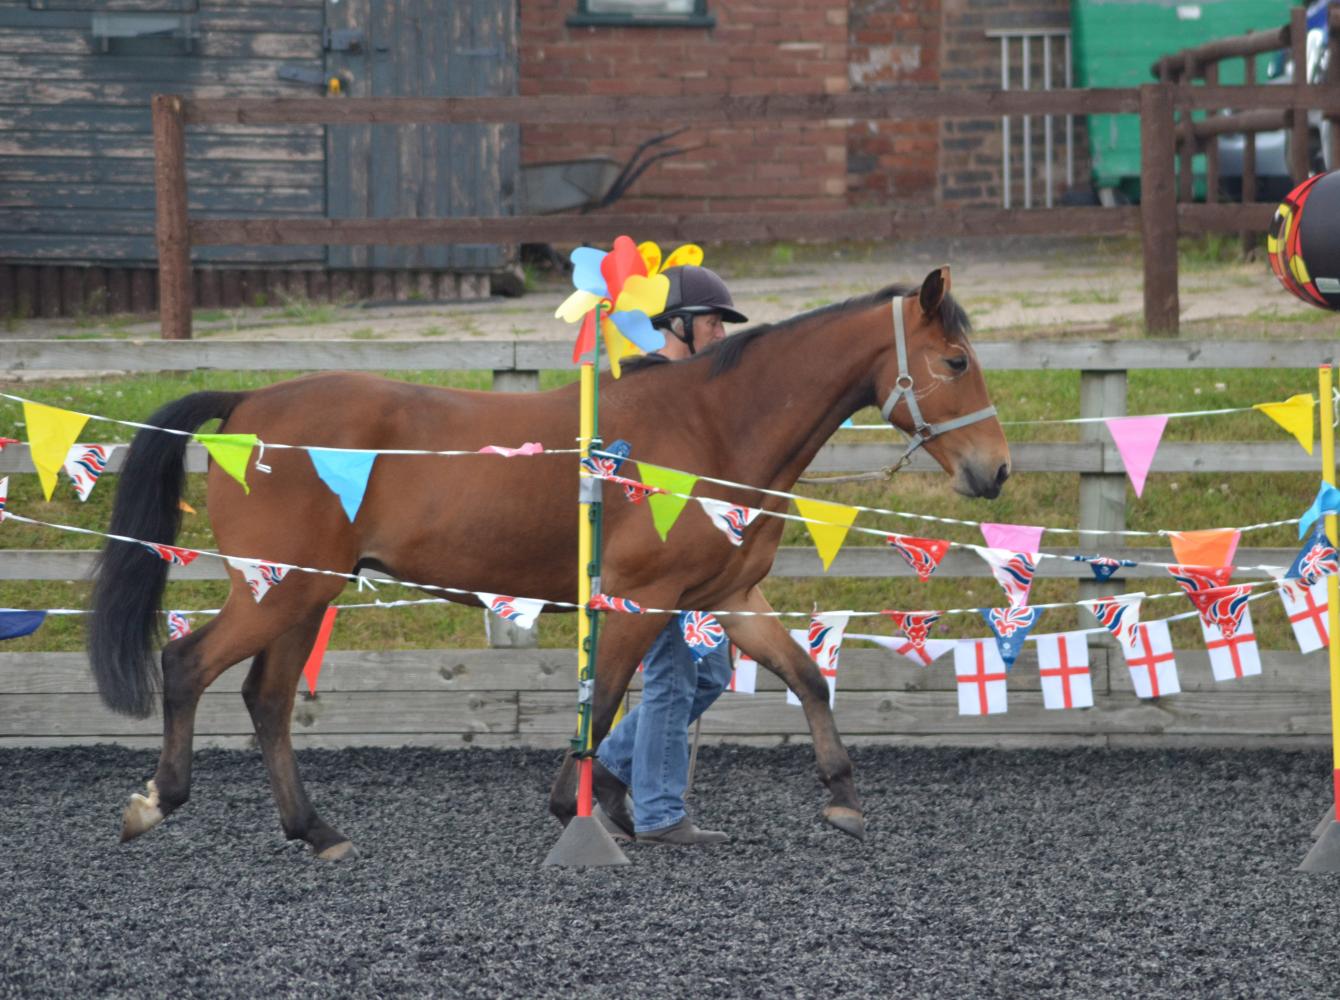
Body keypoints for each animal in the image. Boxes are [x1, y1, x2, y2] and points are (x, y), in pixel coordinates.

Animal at [89, 265, 1007, 857]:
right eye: (956, 361)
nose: (993, 471)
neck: (712, 426)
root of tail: (247, 402)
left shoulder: (733, 598)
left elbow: (809, 680)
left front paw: (843, 799)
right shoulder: (639, 599)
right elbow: (601, 708)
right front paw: (582, 808)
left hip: (302, 595)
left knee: (267, 699)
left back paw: (316, 832)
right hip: (281, 591)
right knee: (188, 664)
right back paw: (155, 804)